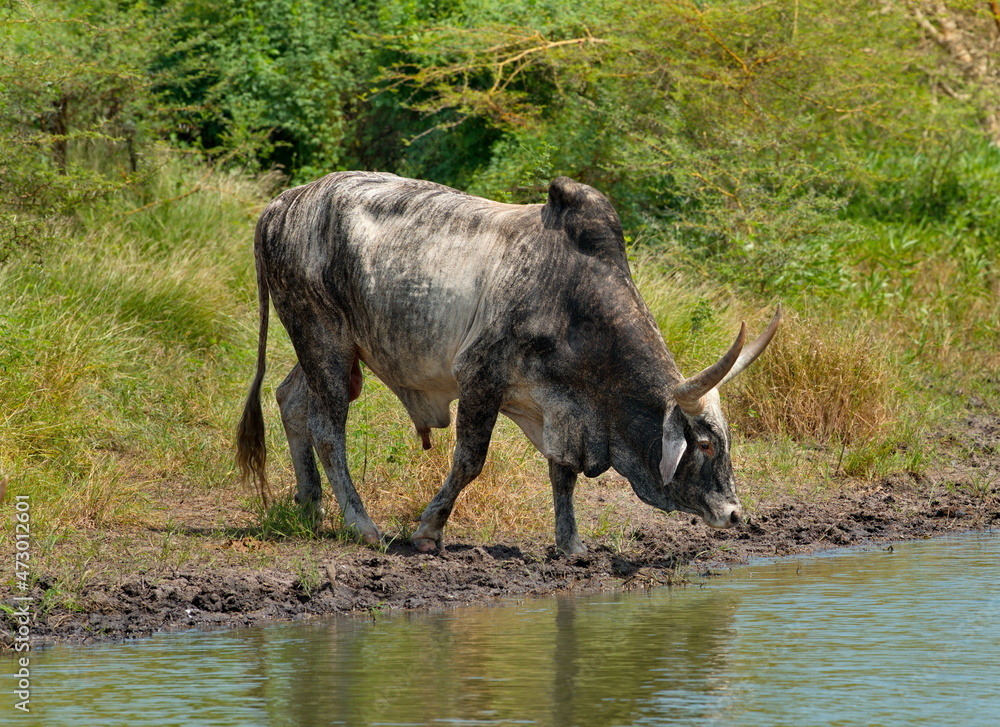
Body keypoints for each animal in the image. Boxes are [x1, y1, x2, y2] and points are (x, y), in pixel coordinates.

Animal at [236, 171, 780, 555]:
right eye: (705, 443)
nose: (735, 515)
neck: (573, 298)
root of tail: (280, 205)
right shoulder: (481, 376)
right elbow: (469, 461)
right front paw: (428, 530)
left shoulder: (562, 408)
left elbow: (563, 472)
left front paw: (571, 545)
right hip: (322, 339)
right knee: (328, 430)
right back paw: (362, 524)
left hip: (333, 350)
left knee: (290, 401)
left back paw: (310, 508)